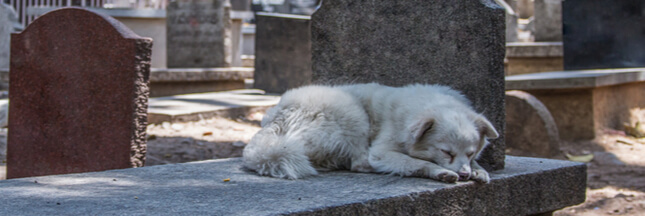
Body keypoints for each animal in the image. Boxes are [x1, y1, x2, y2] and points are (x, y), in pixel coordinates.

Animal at [242, 82, 498, 182]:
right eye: (446, 152)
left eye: (471, 152)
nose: (464, 174)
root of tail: (274, 120)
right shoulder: (382, 151)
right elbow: (415, 162)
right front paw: (440, 172)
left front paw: (479, 170)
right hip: (352, 113)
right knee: (359, 163)